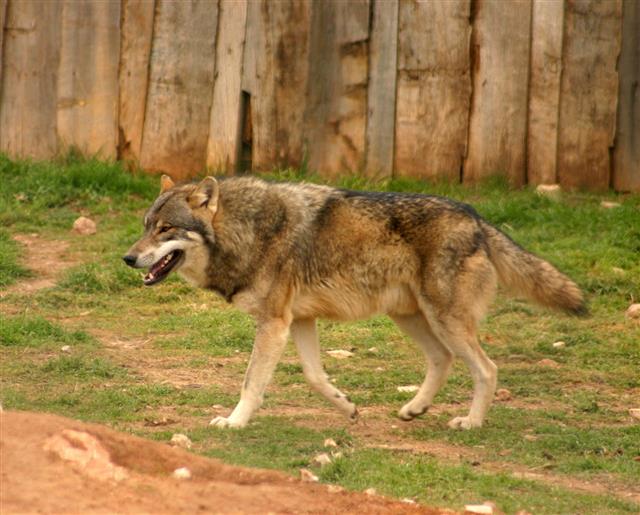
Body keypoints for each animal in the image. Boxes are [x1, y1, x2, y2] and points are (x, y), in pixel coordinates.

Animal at [121, 177, 584, 432]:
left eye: (165, 229)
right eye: (145, 227)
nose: (127, 258)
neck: (247, 230)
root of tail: (476, 217)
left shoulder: (274, 323)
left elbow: (251, 382)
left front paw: (233, 422)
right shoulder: (298, 321)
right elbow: (314, 376)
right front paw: (347, 406)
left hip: (444, 320)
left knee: (486, 369)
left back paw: (470, 422)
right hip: (411, 318)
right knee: (442, 359)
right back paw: (415, 409)